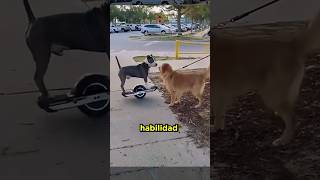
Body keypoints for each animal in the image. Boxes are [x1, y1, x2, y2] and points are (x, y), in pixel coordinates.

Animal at [212, 10, 320, 146]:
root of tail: (291, 45)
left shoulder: (219, 91)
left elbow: (217, 112)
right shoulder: (221, 93)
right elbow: (219, 113)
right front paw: (218, 128)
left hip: (270, 94)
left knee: (292, 117)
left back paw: (284, 139)